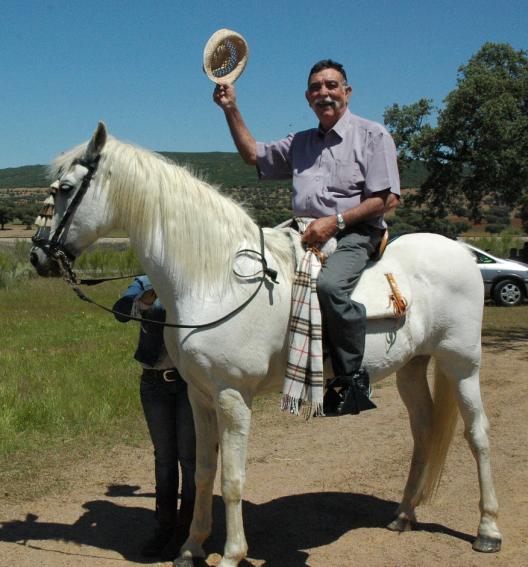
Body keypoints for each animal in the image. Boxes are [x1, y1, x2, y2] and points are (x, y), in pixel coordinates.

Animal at [30, 123, 502, 567]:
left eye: (65, 189)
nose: (38, 256)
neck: (215, 279)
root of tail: (463, 253)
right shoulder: (200, 396)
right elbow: (203, 472)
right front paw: (191, 548)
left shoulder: (233, 396)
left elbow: (232, 480)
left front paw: (232, 554)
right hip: (413, 366)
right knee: (424, 430)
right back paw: (404, 515)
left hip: (461, 363)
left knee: (477, 433)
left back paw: (487, 530)